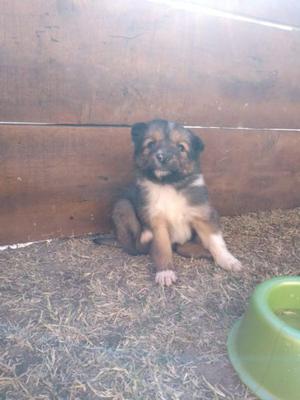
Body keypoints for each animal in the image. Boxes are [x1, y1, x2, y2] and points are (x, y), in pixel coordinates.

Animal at [112, 120, 241, 286]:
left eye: (181, 147)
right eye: (151, 144)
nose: (163, 157)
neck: (169, 185)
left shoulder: (202, 214)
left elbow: (215, 240)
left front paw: (228, 260)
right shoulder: (157, 222)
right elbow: (161, 248)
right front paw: (165, 272)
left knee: (185, 248)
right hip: (123, 206)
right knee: (134, 247)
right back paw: (145, 236)